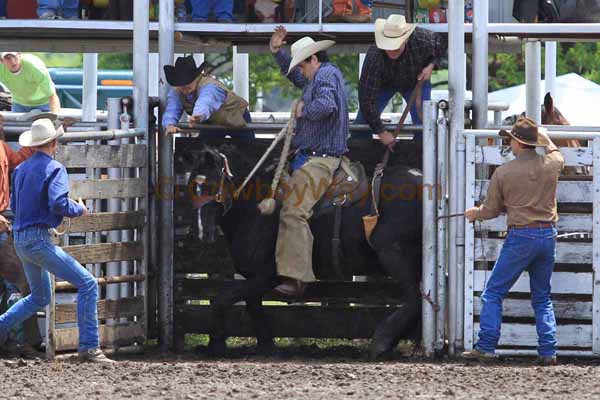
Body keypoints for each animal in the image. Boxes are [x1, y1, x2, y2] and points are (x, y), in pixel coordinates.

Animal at [180, 145, 424, 360]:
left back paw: (382, 341)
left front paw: (216, 345)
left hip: (394, 253)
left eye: (211, 185)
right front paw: (268, 346)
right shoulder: (254, 278)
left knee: (414, 298)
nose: (201, 232)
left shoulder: (268, 275)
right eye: (190, 186)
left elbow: (222, 298)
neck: (256, 209)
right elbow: (253, 306)